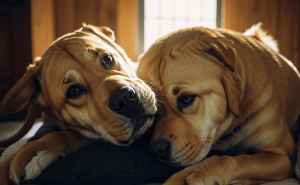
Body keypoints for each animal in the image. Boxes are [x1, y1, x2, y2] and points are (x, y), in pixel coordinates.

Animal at [137, 23, 300, 185]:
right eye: (155, 107)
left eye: (186, 98)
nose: (157, 150)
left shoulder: (283, 155)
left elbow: (231, 160)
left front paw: (192, 173)